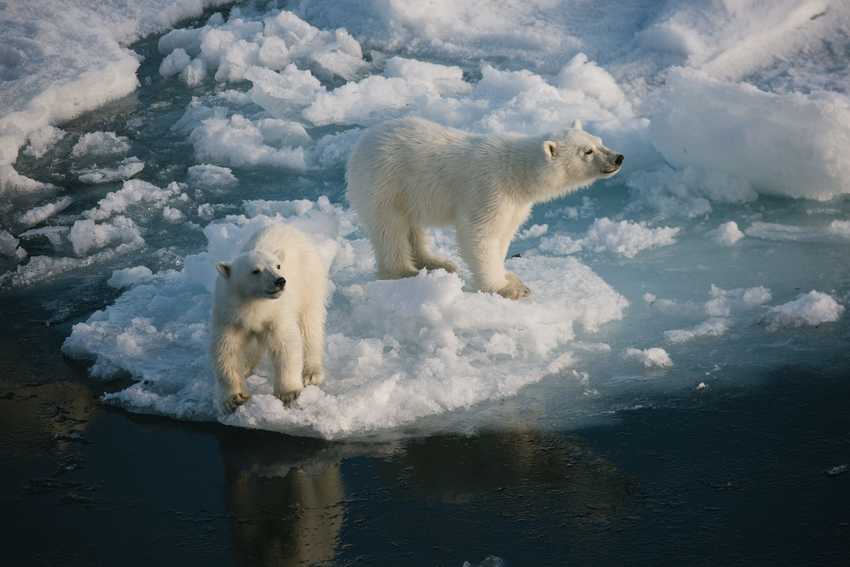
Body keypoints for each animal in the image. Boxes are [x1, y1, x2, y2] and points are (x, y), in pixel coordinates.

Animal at [212, 222, 328, 412]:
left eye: (278, 266)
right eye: (255, 271)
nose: (280, 281)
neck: (254, 304)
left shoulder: (277, 314)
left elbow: (285, 345)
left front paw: (288, 393)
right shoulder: (228, 314)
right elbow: (226, 350)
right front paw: (234, 398)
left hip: (309, 280)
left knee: (309, 324)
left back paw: (311, 373)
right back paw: (246, 366)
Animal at [346, 117, 624, 300]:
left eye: (599, 140)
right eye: (587, 151)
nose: (618, 158)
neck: (514, 172)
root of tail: (362, 142)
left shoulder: (515, 204)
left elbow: (503, 235)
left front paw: (510, 277)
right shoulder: (489, 190)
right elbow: (480, 234)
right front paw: (508, 288)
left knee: (413, 226)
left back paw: (436, 262)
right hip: (385, 183)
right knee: (390, 228)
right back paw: (403, 271)